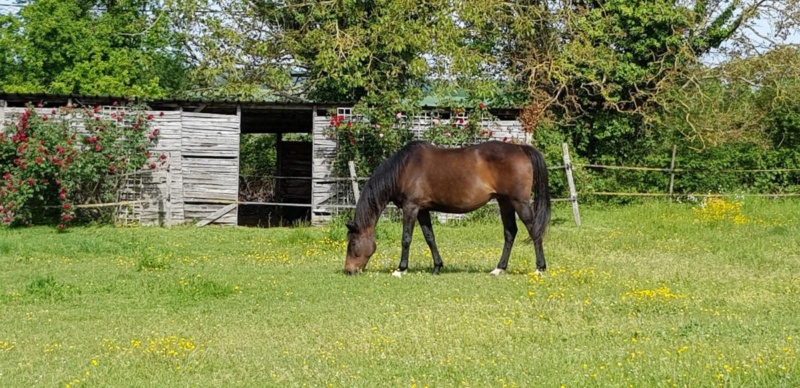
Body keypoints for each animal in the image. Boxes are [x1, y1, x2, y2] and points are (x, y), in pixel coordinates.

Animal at [344, 139, 552, 276]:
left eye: (352, 244)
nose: (348, 271)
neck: (404, 168)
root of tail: (521, 148)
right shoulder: (423, 210)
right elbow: (430, 237)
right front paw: (437, 266)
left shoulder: (411, 207)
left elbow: (406, 238)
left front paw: (401, 269)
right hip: (505, 202)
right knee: (510, 232)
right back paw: (498, 268)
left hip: (519, 202)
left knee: (534, 230)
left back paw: (539, 268)